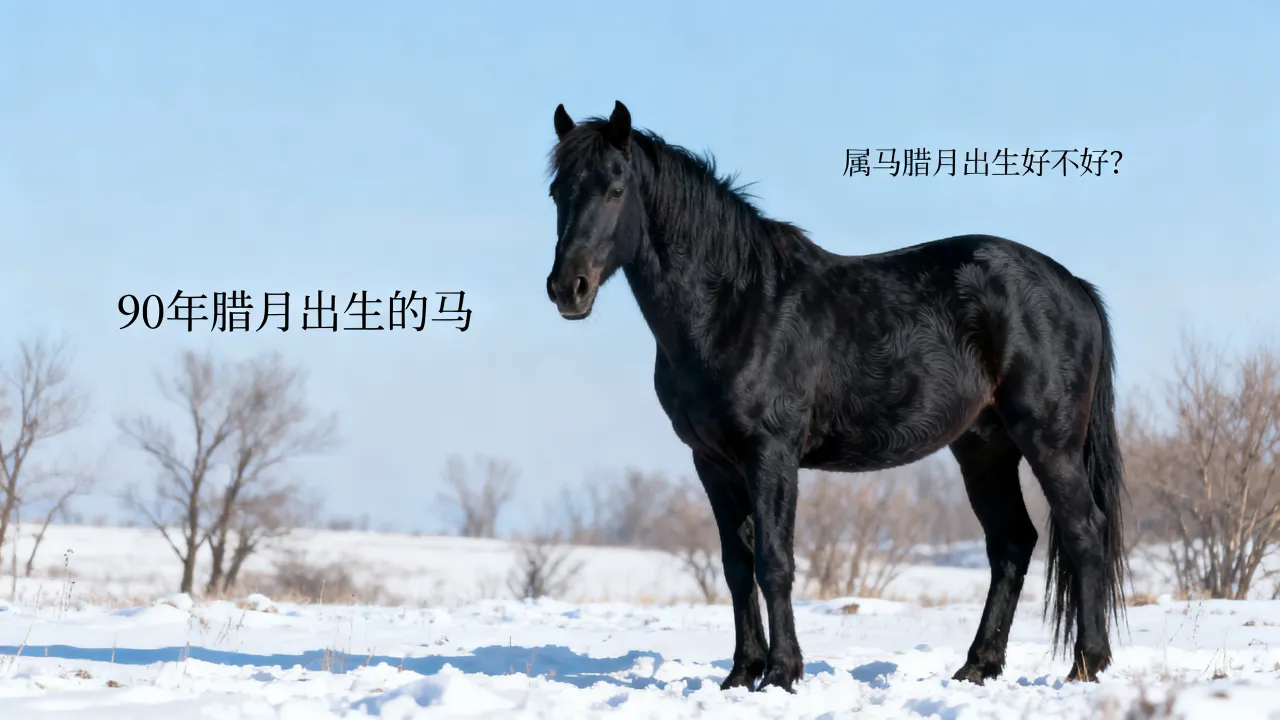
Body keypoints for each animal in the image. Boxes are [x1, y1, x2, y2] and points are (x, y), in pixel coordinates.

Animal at [543, 100, 1127, 693]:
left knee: (1083, 532)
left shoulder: (771, 452)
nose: (568, 289)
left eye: (616, 189)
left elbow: (774, 561)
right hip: (984, 448)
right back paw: (978, 666)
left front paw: (781, 673)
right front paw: (741, 673)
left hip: (1048, 441)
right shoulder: (710, 461)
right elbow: (736, 565)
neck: (735, 305)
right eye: (557, 191)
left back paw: (1087, 665)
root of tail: (1074, 286)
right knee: (1011, 543)